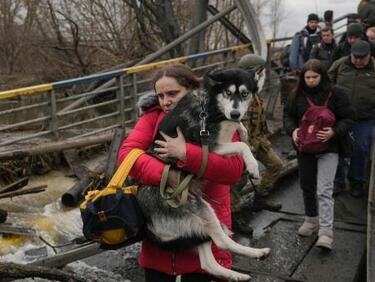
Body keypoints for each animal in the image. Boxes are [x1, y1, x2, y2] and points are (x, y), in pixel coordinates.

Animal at [137, 67, 272, 280]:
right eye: (227, 92)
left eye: (244, 94)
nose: (235, 113)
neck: (211, 106)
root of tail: (148, 223)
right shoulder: (209, 146)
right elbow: (241, 146)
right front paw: (252, 166)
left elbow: (240, 134)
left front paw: (243, 130)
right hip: (202, 210)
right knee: (222, 242)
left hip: (196, 227)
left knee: (208, 263)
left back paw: (243, 269)